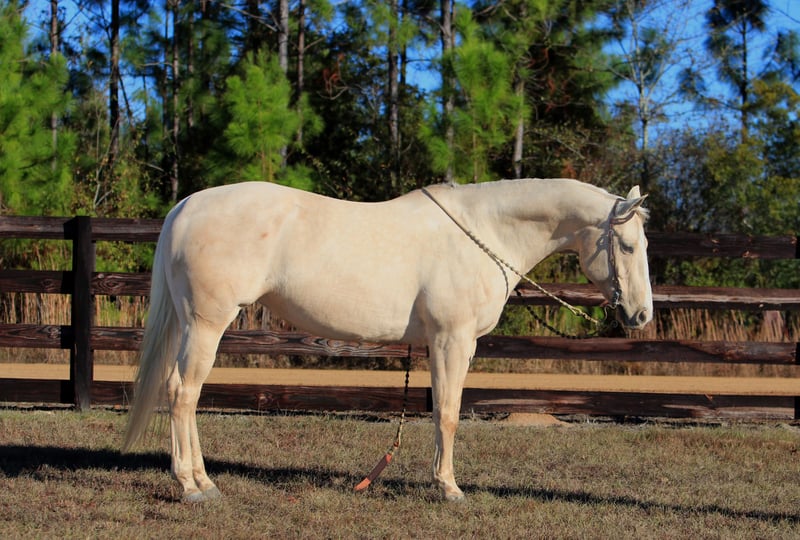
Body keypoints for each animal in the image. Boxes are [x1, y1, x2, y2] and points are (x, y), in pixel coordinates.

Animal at [122, 178, 653, 502]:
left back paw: (202, 481)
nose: (642, 315)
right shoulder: (452, 340)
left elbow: (439, 410)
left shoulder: (445, 344)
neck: (485, 232)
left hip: (193, 324)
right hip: (206, 324)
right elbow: (448, 413)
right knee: (183, 393)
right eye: (628, 246)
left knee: (184, 393)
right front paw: (449, 488)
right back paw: (192, 486)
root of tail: (187, 206)